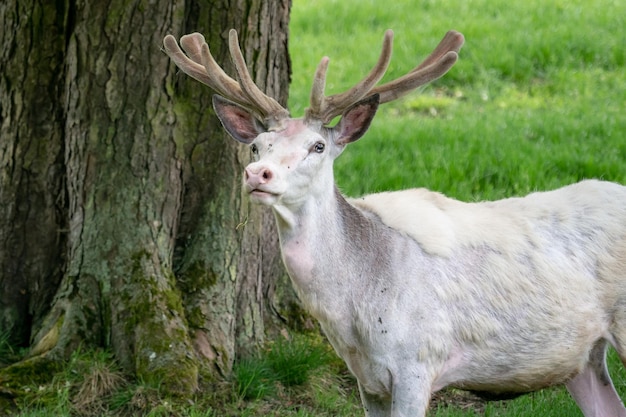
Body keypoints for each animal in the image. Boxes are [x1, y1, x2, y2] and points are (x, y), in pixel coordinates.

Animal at [162, 27, 624, 414]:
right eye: (258, 145)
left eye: (317, 146)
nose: (258, 174)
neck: (356, 313)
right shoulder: (367, 381)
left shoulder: (419, 362)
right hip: (582, 358)